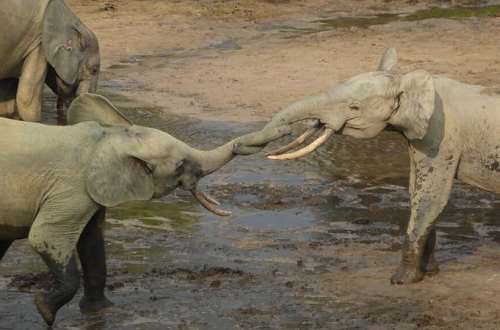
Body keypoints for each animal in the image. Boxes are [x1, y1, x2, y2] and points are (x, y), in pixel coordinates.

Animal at [0, 93, 290, 324]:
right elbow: (44, 237)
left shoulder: (90, 192)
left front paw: (103, 312)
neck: (109, 136)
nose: (285, 130)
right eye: (180, 165)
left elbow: (92, 241)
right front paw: (45, 312)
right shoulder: (71, 188)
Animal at [266, 48, 500, 286]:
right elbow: (415, 191)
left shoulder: (442, 138)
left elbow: (430, 197)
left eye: (354, 107)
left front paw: (401, 281)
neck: (406, 80)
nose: (284, 131)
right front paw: (428, 273)